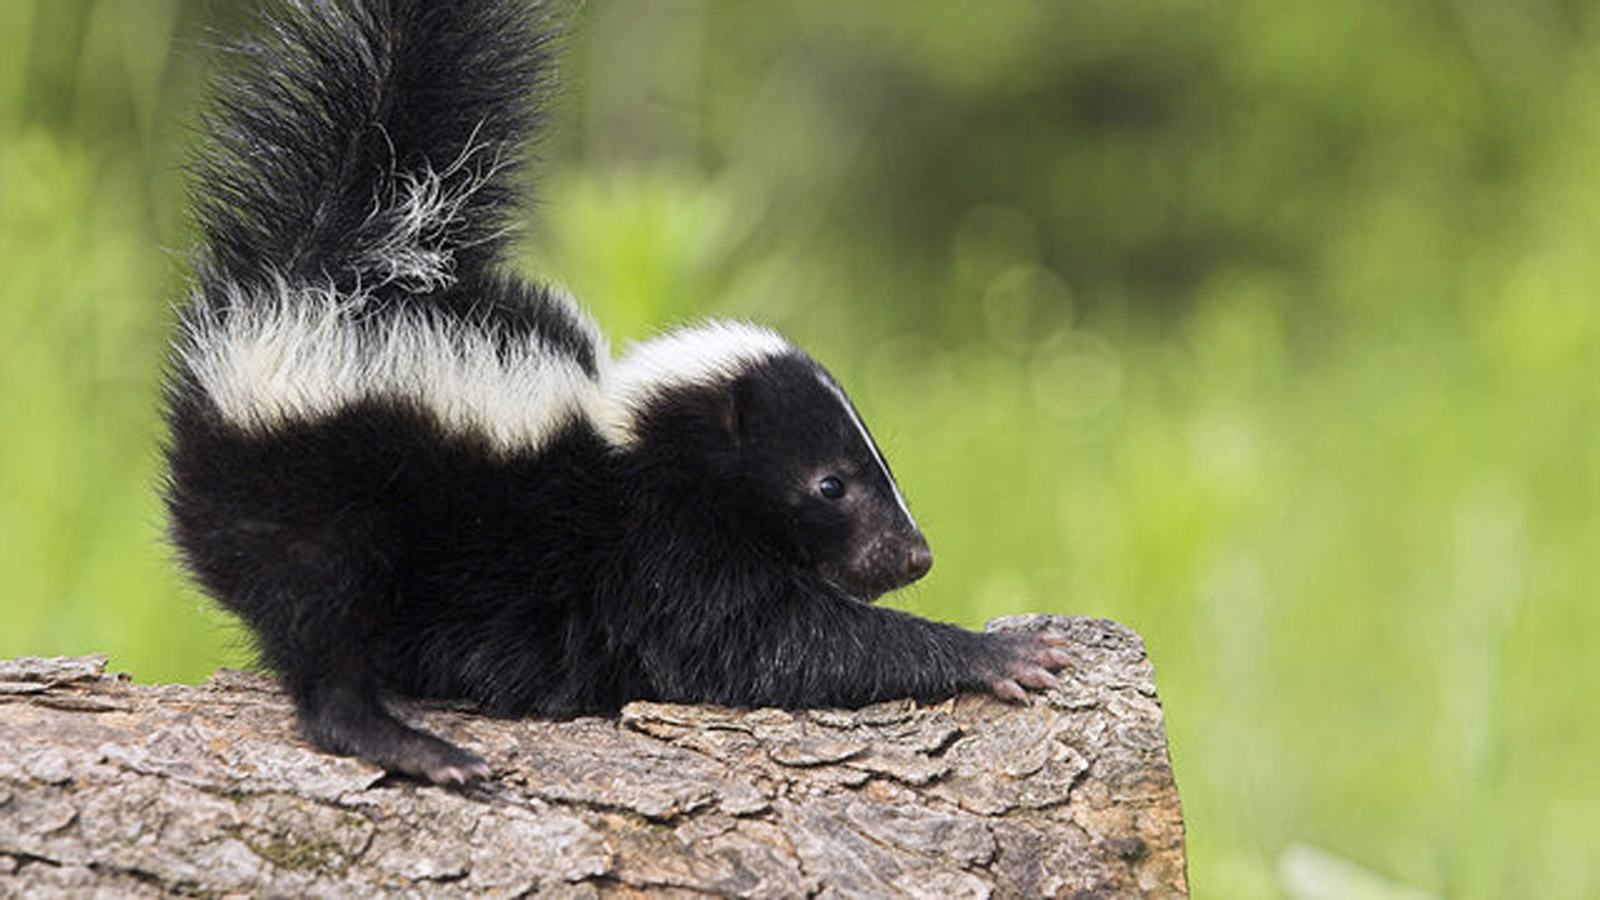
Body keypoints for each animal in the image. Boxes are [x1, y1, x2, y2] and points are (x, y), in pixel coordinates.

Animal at [162, 0, 1068, 781]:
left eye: (875, 462)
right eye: (830, 485)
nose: (915, 555)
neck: (633, 447)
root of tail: (328, 276)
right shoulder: (661, 559)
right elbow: (770, 643)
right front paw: (997, 654)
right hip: (308, 503)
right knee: (319, 629)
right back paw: (407, 741)